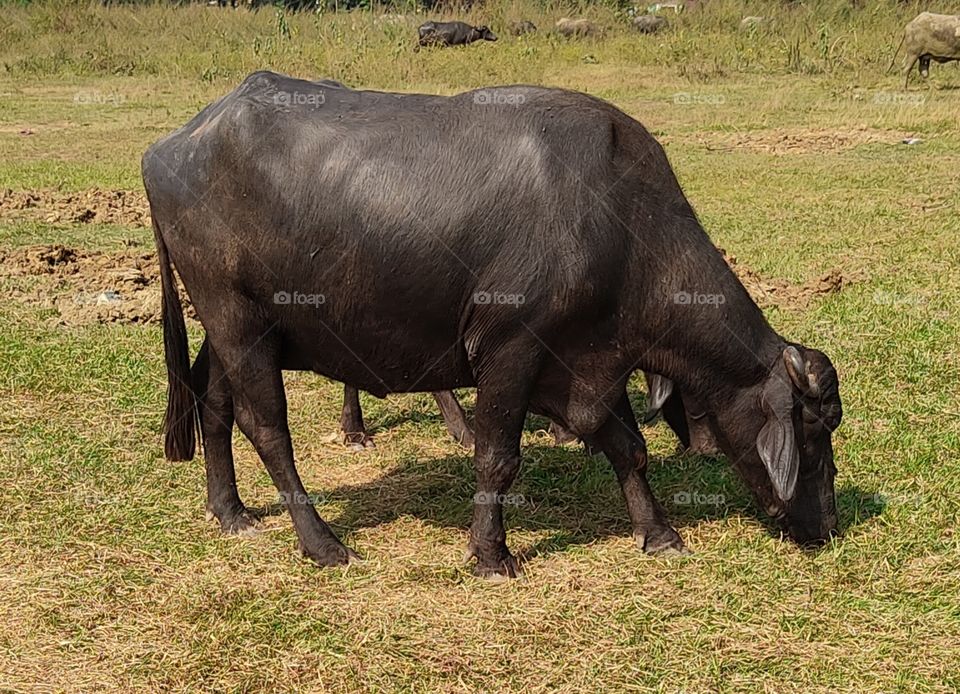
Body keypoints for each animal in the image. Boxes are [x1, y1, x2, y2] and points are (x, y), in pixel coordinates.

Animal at [144, 72, 842, 578]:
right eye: (812, 431)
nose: (828, 526)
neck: (616, 222)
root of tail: (172, 147)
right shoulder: (513, 349)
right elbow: (498, 458)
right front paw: (491, 553)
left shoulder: (590, 360)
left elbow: (628, 446)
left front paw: (659, 532)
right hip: (236, 319)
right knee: (267, 428)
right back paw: (322, 542)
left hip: (232, 326)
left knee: (212, 401)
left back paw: (231, 511)